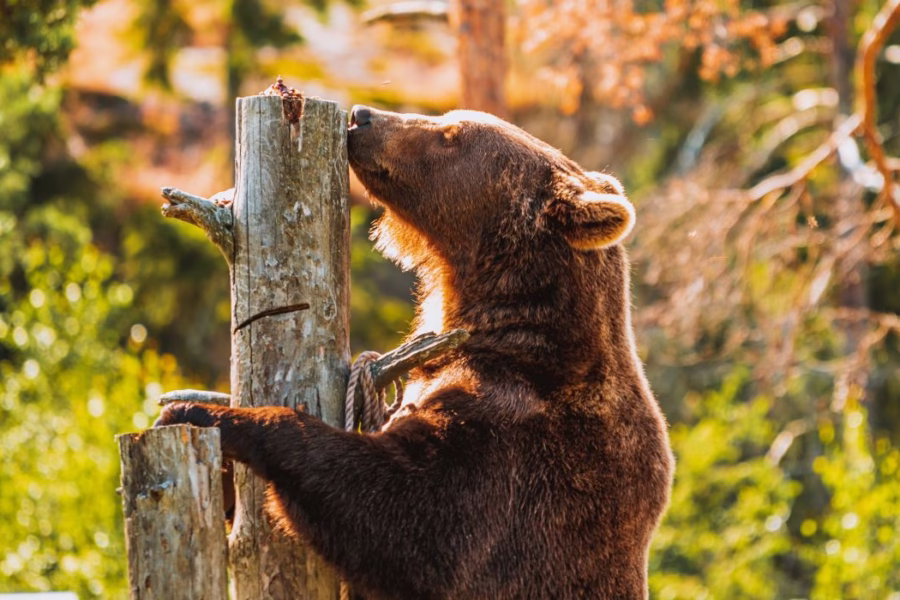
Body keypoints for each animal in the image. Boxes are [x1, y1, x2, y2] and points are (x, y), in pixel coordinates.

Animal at [156, 105, 674, 599]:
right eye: (449, 121)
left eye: (450, 135)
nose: (363, 116)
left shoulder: (521, 450)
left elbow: (408, 519)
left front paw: (202, 413)